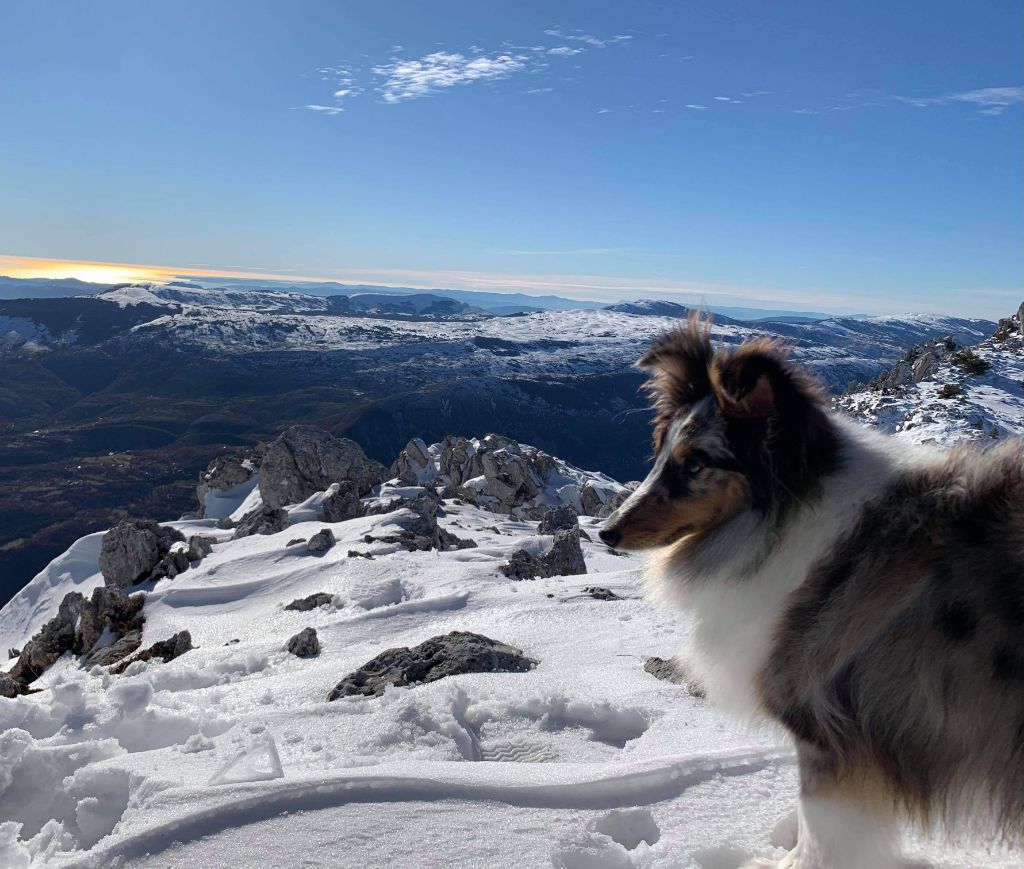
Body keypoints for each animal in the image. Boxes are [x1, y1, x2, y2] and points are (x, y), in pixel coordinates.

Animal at [598, 319, 1024, 867]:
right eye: (660, 455)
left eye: (694, 465)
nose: (607, 532)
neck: (784, 518)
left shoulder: (827, 735)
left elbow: (819, 832)